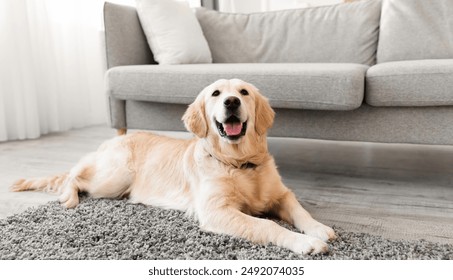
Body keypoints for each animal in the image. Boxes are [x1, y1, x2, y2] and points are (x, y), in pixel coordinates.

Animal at [11, 78, 336, 254]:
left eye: (243, 92)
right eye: (216, 94)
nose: (231, 102)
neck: (239, 162)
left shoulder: (281, 194)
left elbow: (300, 211)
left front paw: (319, 229)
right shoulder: (216, 211)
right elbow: (266, 224)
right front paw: (304, 243)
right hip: (114, 177)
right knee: (75, 176)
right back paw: (68, 198)